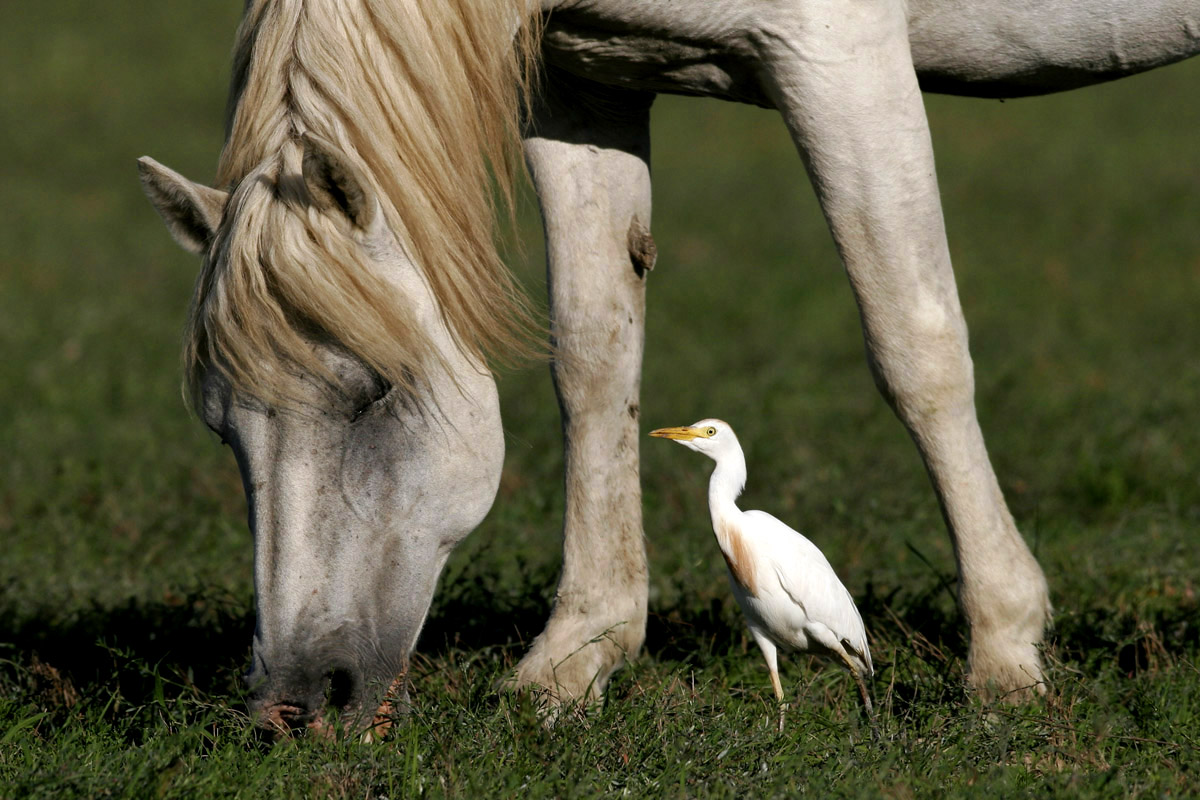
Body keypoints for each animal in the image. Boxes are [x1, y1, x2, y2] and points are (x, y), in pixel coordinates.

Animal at [139, 0, 1200, 734]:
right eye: (222, 431)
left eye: (373, 391)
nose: (292, 708)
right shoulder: (581, 81)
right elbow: (595, 353)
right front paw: (576, 659)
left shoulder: (842, 59)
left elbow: (914, 342)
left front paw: (1005, 658)